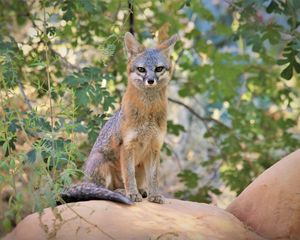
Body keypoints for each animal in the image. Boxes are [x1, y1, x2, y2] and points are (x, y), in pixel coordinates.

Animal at [60, 31, 179, 204]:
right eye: (141, 69)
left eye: (159, 69)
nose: (150, 81)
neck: (148, 113)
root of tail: (84, 179)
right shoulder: (127, 145)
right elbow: (128, 175)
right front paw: (132, 194)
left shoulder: (154, 147)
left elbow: (154, 177)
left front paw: (154, 195)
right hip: (101, 162)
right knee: (104, 190)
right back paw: (122, 191)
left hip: (140, 167)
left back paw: (142, 191)